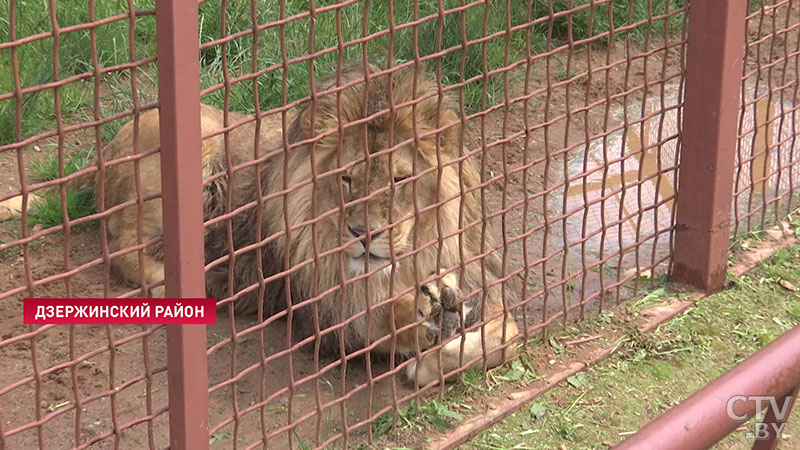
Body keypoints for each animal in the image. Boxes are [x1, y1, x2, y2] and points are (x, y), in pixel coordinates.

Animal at [92, 65, 520, 384]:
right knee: (121, 247)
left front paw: (441, 330)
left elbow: (507, 337)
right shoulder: (322, 314)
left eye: (400, 180)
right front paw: (420, 317)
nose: (363, 235)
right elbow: (370, 321)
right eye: (346, 179)